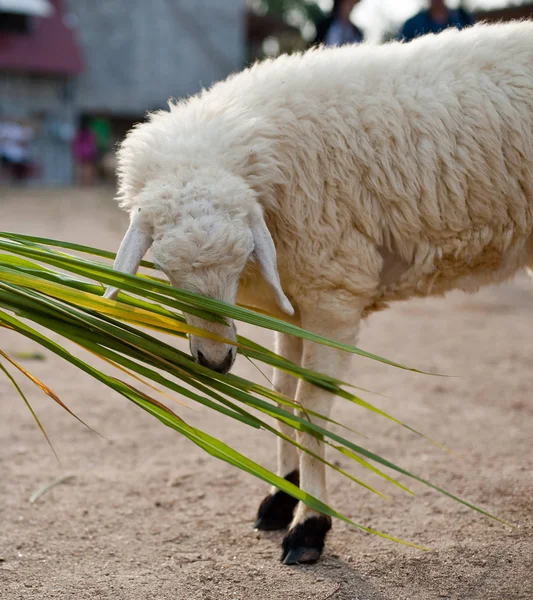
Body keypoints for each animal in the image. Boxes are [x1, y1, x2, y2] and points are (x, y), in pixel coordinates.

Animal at [105, 23, 533, 564]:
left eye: (243, 256)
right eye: (161, 265)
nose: (216, 362)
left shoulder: (334, 293)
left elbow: (309, 409)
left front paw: (311, 526)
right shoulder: (292, 300)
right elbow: (281, 396)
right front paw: (281, 495)